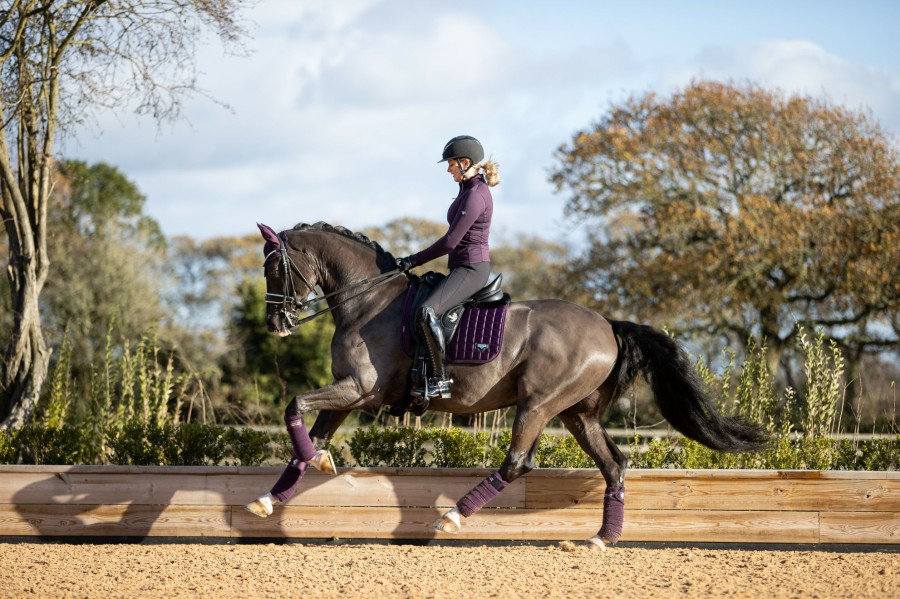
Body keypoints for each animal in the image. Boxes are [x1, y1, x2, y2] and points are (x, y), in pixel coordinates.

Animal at [246, 223, 768, 552]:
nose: (275, 324)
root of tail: (607, 325)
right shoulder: (346, 394)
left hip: (538, 404)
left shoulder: (359, 389)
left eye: (274, 269)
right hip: (578, 414)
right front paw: (273, 495)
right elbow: (307, 433)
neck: (367, 302)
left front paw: (311, 465)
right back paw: (601, 539)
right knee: (614, 465)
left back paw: (453, 516)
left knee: (518, 462)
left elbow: (294, 404)